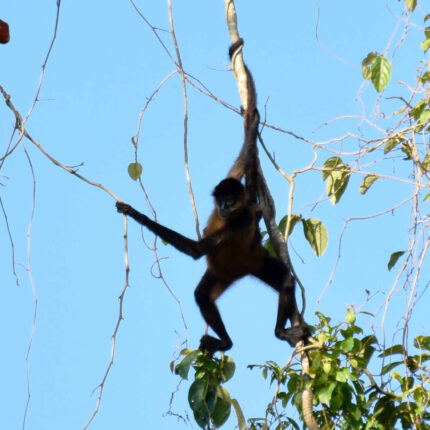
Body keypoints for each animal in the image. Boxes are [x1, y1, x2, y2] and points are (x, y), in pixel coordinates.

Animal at [115, 39, 310, 352]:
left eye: (229, 201)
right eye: (220, 199)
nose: (224, 206)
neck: (238, 211)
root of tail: (241, 272)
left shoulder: (239, 220)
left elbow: (197, 250)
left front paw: (136, 213)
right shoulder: (236, 185)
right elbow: (247, 150)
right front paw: (251, 115)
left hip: (256, 261)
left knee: (285, 282)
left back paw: (259, 336)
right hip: (220, 274)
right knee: (204, 294)